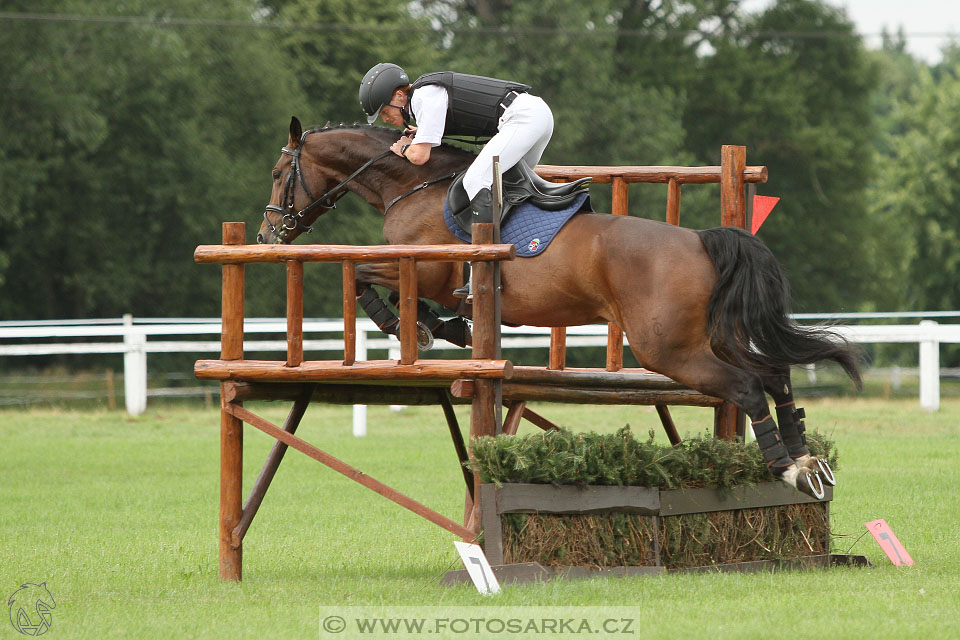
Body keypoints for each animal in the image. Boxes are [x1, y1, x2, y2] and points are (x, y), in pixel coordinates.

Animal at [256, 116, 864, 496]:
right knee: (776, 374)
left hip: (667, 349)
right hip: (708, 337)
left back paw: (788, 469)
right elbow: (388, 287)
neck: (413, 184)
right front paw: (445, 327)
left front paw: (421, 327)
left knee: (747, 386)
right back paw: (806, 460)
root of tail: (700, 239)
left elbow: (365, 277)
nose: (267, 235)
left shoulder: (424, 267)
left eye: (279, 173)